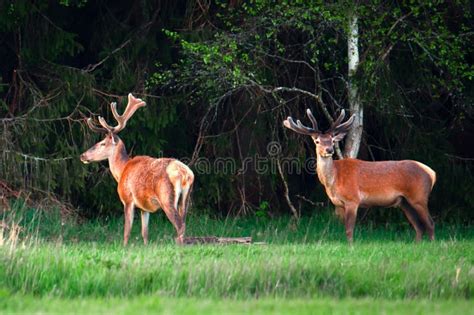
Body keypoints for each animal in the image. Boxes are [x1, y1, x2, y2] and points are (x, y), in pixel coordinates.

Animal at [80, 94, 193, 247]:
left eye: (102, 143)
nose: (83, 155)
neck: (122, 171)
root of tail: (185, 173)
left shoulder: (127, 198)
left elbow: (127, 230)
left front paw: (124, 247)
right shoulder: (144, 207)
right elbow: (145, 232)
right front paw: (146, 247)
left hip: (166, 197)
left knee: (179, 225)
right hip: (186, 198)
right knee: (184, 223)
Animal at [284, 110, 436, 246]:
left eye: (332, 140)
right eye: (317, 141)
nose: (329, 150)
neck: (334, 180)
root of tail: (431, 173)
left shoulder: (353, 199)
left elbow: (349, 229)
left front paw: (351, 247)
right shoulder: (341, 204)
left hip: (419, 196)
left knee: (430, 223)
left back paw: (431, 245)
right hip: (404, 202)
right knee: (419, 226)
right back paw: (417, 245)